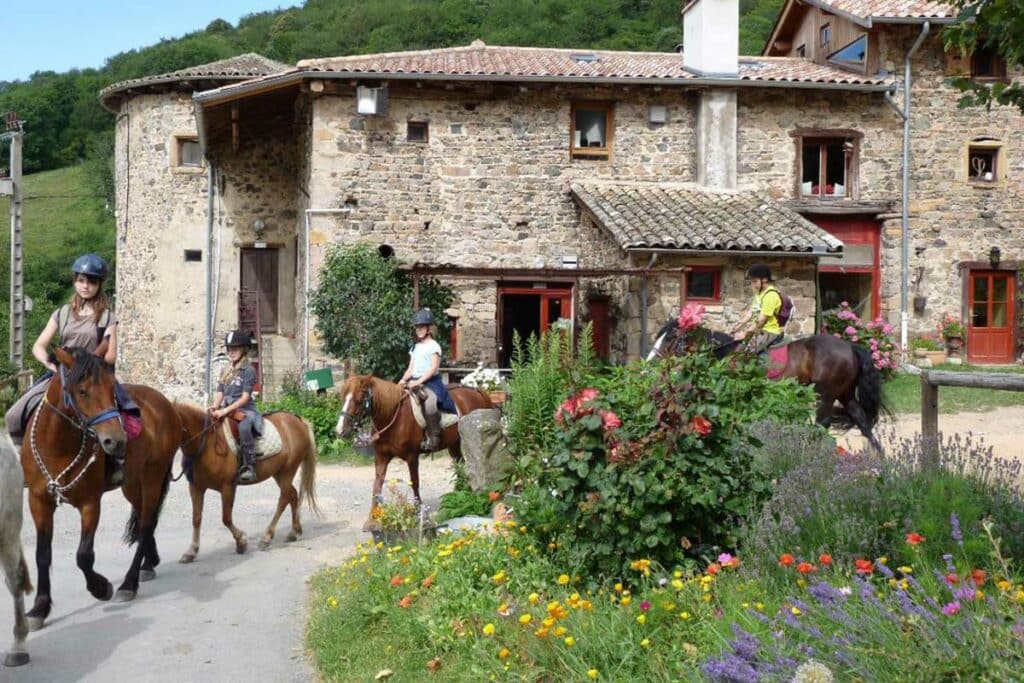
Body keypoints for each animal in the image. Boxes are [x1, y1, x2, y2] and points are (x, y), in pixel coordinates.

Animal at [18, 348, 179, 630]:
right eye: (82, 391)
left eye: (112, 389)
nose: (116, 442)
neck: (57, 444)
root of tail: (164, 404)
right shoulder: (39, 501)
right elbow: (42, 555)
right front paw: (39, 608)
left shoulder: (90, 503)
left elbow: (84, 555)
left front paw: (101, 588)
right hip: (132, 485)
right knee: (143, 521)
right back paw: (149, 564)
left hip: (152, 477)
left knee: (146, 524)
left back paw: (129, 583)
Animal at [174, 403, 319, 557]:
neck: (207, 442)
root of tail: (298, 421)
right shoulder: (196, 487)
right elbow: (196, 518)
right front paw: (191, 551)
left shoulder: (227, 487)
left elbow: (226, 518)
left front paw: (241, 542)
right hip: (278, 473)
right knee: (293, 494)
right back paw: (294, 532)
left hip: (288, 471)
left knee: (284, 499)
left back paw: (267, 537)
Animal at [333, 376, 493, 528]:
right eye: (343, 398)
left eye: (358, 401)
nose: (340, 430)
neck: (394, 417)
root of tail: (476, 391)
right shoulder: (381, 457)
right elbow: (377, 485)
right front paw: (372, 518)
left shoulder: (412, 457)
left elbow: (414, 482)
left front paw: (417, 511)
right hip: (454, 444)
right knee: (459, 465)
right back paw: (459, 492)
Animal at [651, 317, 884, 450]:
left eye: (670, 337)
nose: (650, 360)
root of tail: (850, 347)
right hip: (845, 394)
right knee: (862, 422)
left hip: (826, 395)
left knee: (822, 424)